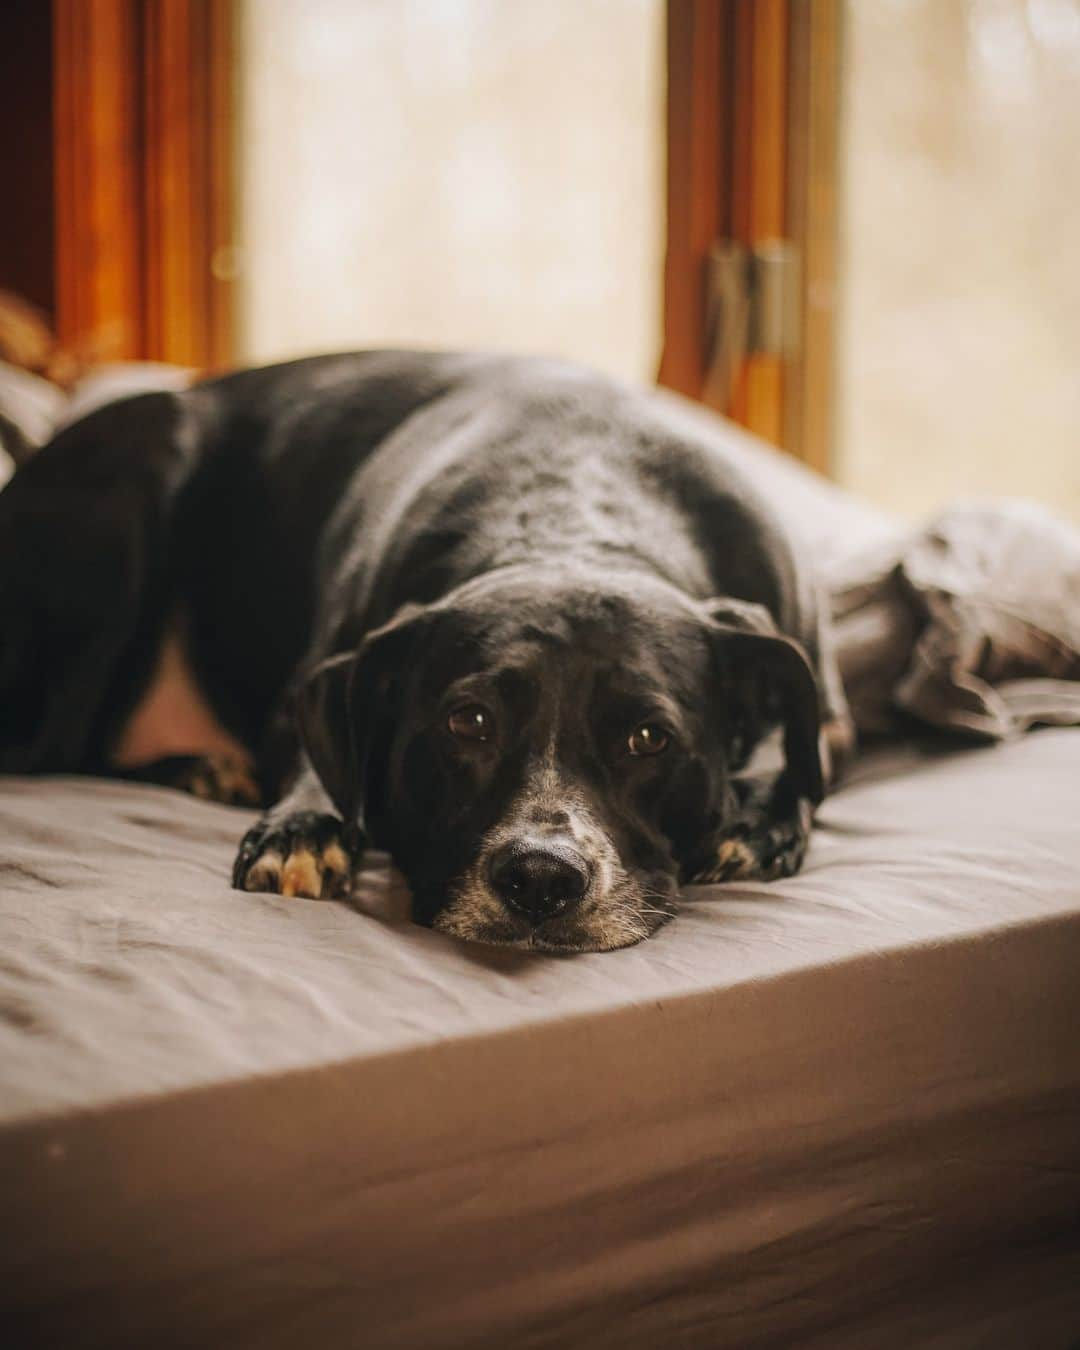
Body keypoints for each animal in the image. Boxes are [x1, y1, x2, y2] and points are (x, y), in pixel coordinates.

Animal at [0, 353, 853, 955]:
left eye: (650, 739)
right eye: (467, 722)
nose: (540, 878)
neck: (574, 513)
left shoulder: (821, 701)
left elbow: (794, 749)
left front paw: (756, 820)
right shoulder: (316, 683)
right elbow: (320, 757)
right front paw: (303, 826)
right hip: (141, 476)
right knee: (52, 755)